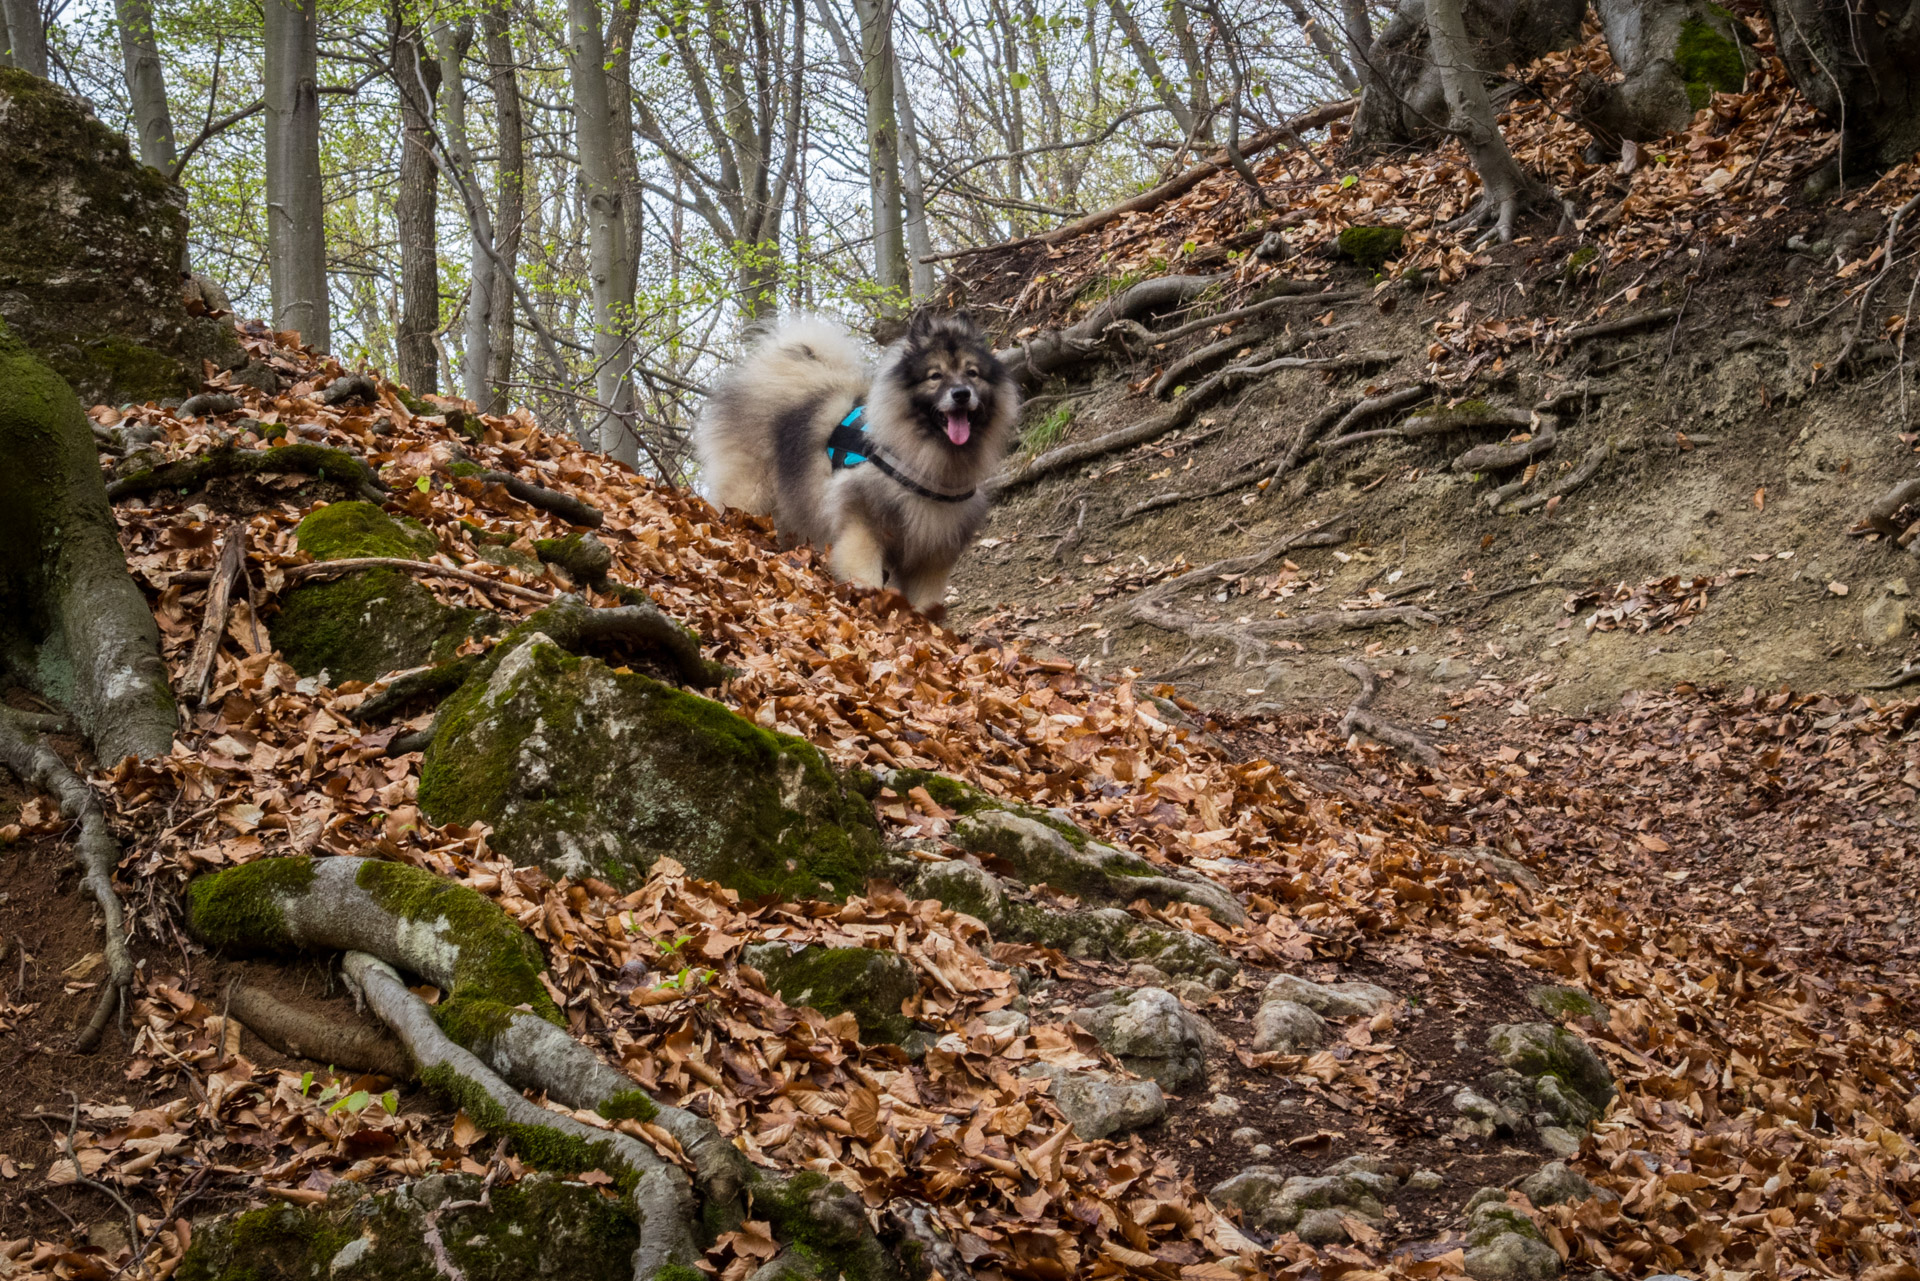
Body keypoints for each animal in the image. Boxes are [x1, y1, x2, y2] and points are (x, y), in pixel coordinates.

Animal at [695, 313, 1021, 618]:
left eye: (972, 373)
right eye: (935, 376)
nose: (962, 394)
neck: (923, 460)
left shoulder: (931, 555)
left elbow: (925, 604)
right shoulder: (862, 529)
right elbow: (867, 580)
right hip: (751, 489)